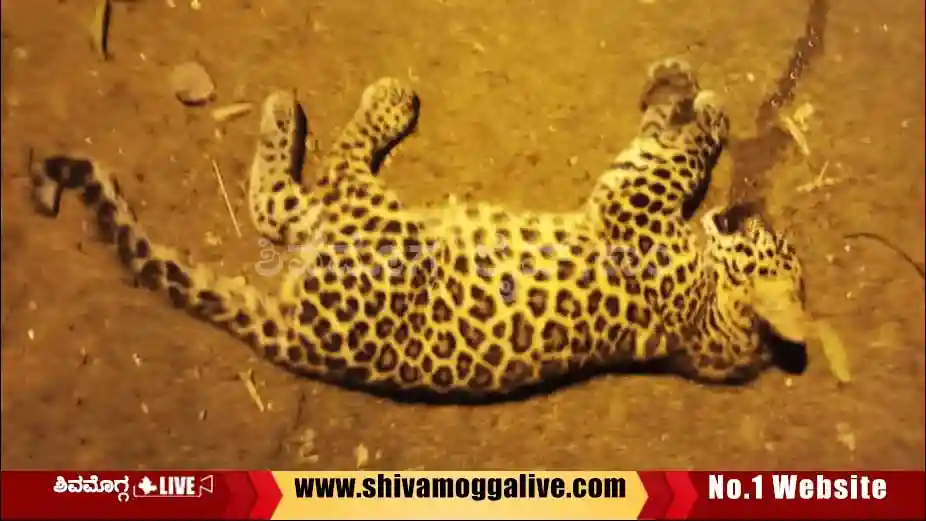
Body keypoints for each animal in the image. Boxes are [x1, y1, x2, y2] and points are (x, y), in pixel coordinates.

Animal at [31, 57, 810, 401]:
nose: (743, 211)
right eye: (775, 238)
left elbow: (681, 148)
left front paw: (702, 105)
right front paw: (684, 87)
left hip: (369, 221)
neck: (718, 318)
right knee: (290, 197)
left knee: (301, 188)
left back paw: (352, 104)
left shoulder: (634, 199)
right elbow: (675, 141)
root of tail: (299, 338)